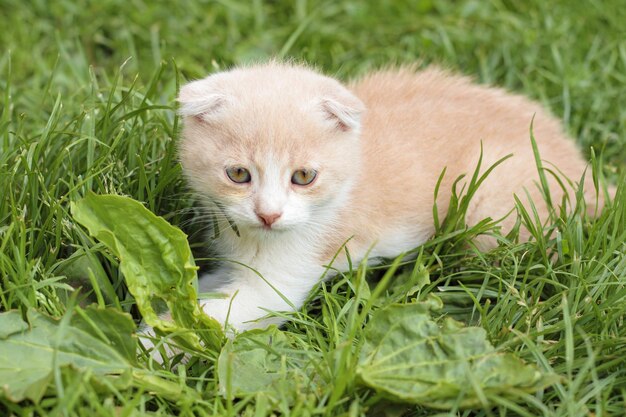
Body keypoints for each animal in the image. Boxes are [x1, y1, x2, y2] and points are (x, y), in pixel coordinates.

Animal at [176, 61, 604, 332]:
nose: (269, 215)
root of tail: (589, 175)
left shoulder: (282, 279)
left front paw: (161, 351)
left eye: (303, 177)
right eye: (238, 174)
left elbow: (212, 317)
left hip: (491, 208)